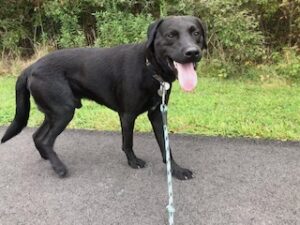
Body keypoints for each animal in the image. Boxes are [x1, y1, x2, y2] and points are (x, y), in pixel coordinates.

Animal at [1, 15, 206, 180]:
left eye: (196, 33)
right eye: (171, 35)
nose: (192, 52)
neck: (149, 68)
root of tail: (30, 67)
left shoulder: (156, 114)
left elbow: (166, 146)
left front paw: (176, 170)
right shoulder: (127, 115)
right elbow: (128, 142)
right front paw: (133, 162)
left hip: (54, 112)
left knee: (38, 136)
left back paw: (47, 158)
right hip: (63, 111)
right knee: (45, 139)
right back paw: (59, 167)